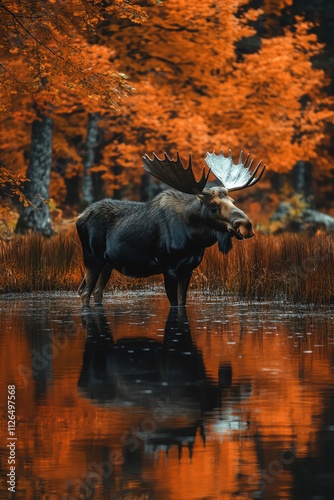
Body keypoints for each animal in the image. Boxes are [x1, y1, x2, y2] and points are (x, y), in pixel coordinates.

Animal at [76, 148, 266, 304]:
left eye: (233, 201)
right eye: (214, 206)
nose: (246, 225)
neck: (194, 241)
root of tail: (79, 218)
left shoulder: (188, 269)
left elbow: (182, 302)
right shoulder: (168, 267)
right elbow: (174, 304)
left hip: (108, 263)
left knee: (96, 291)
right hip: (92, 257)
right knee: (85, 292)